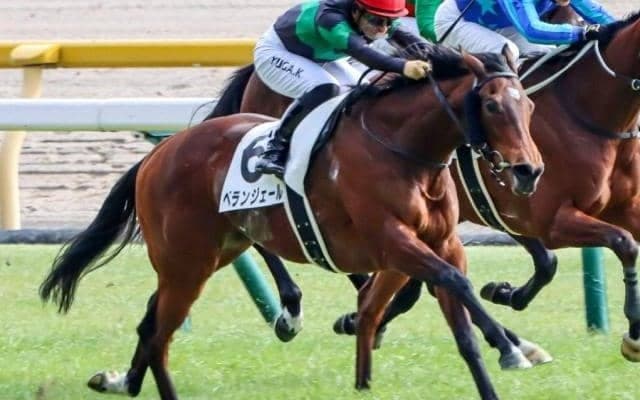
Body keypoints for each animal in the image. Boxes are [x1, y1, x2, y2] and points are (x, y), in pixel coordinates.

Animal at [39, 47, 543, 400]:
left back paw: (122, 380)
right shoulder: (393, 241)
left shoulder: (441, 242)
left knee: (150, 323)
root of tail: (159, 153)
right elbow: (455, 281)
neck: (405, 152)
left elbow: (461, 326)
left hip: (209, 254)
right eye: (492, 106)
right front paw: (512, 348)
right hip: (187, 261)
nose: (529, 171)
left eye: (530, 108)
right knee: (160, 334)